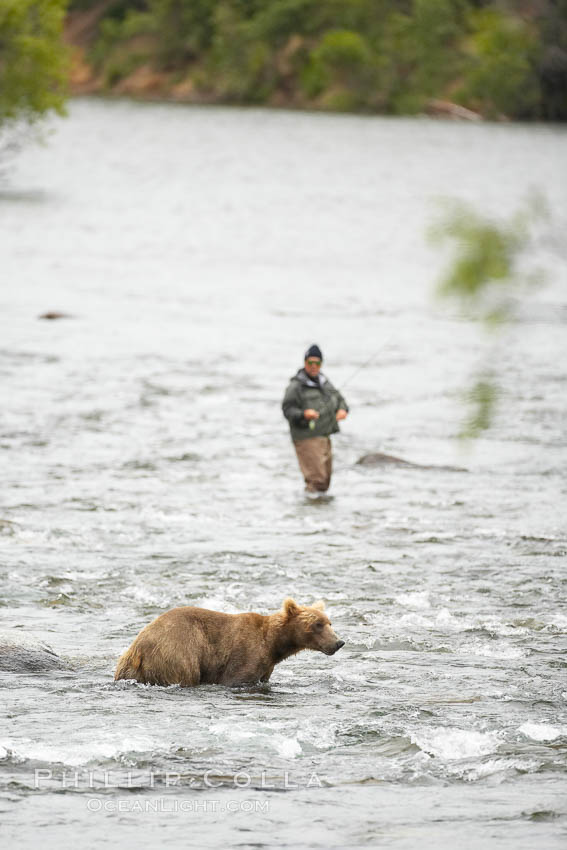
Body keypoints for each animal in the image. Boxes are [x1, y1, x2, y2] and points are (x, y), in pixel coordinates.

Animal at [114, 598, 344, 687]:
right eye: (317, 624)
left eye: (329, 622)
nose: (339, 642)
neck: (274, 645)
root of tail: (139, 648)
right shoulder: (246, 654)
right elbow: (237, 677)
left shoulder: (266, 666)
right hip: (178, 653)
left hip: (129, 668)